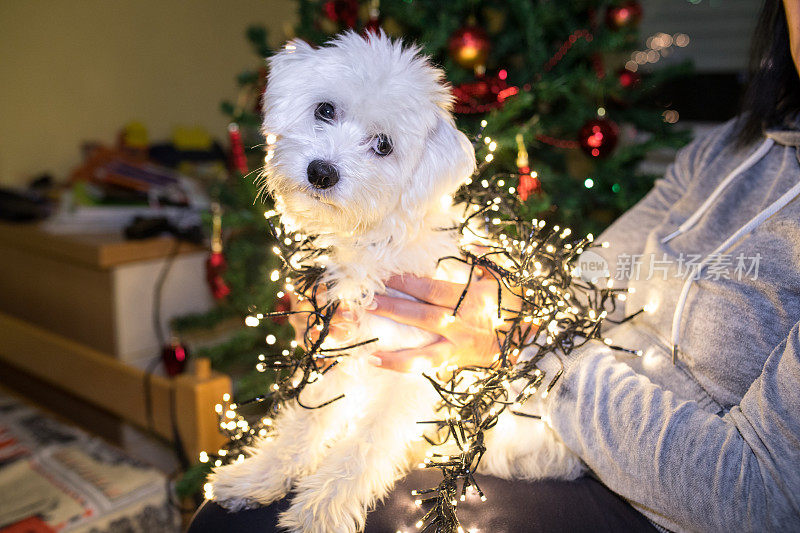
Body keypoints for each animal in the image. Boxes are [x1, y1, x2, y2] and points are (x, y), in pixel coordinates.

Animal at [208, 31, 580, 528]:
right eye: (325, 110)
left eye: (383, 145)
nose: (321, 172)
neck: (372, 244)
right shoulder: (338, 350)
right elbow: (302, 424)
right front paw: (259, 476)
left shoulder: (409, 375)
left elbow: (363, 447)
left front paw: (322, 508)